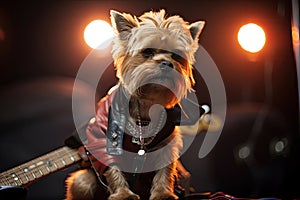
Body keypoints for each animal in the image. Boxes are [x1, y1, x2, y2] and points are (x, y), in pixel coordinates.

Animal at [66, 9, 204, 200]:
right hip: (82, 182)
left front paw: (163, 193)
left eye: (176, 55)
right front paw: (123, 194)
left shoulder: (166, 143)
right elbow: (111, 164)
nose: (167, 63)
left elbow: (164, 168)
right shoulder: (103, 138)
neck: (147, 102)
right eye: (147, 52)